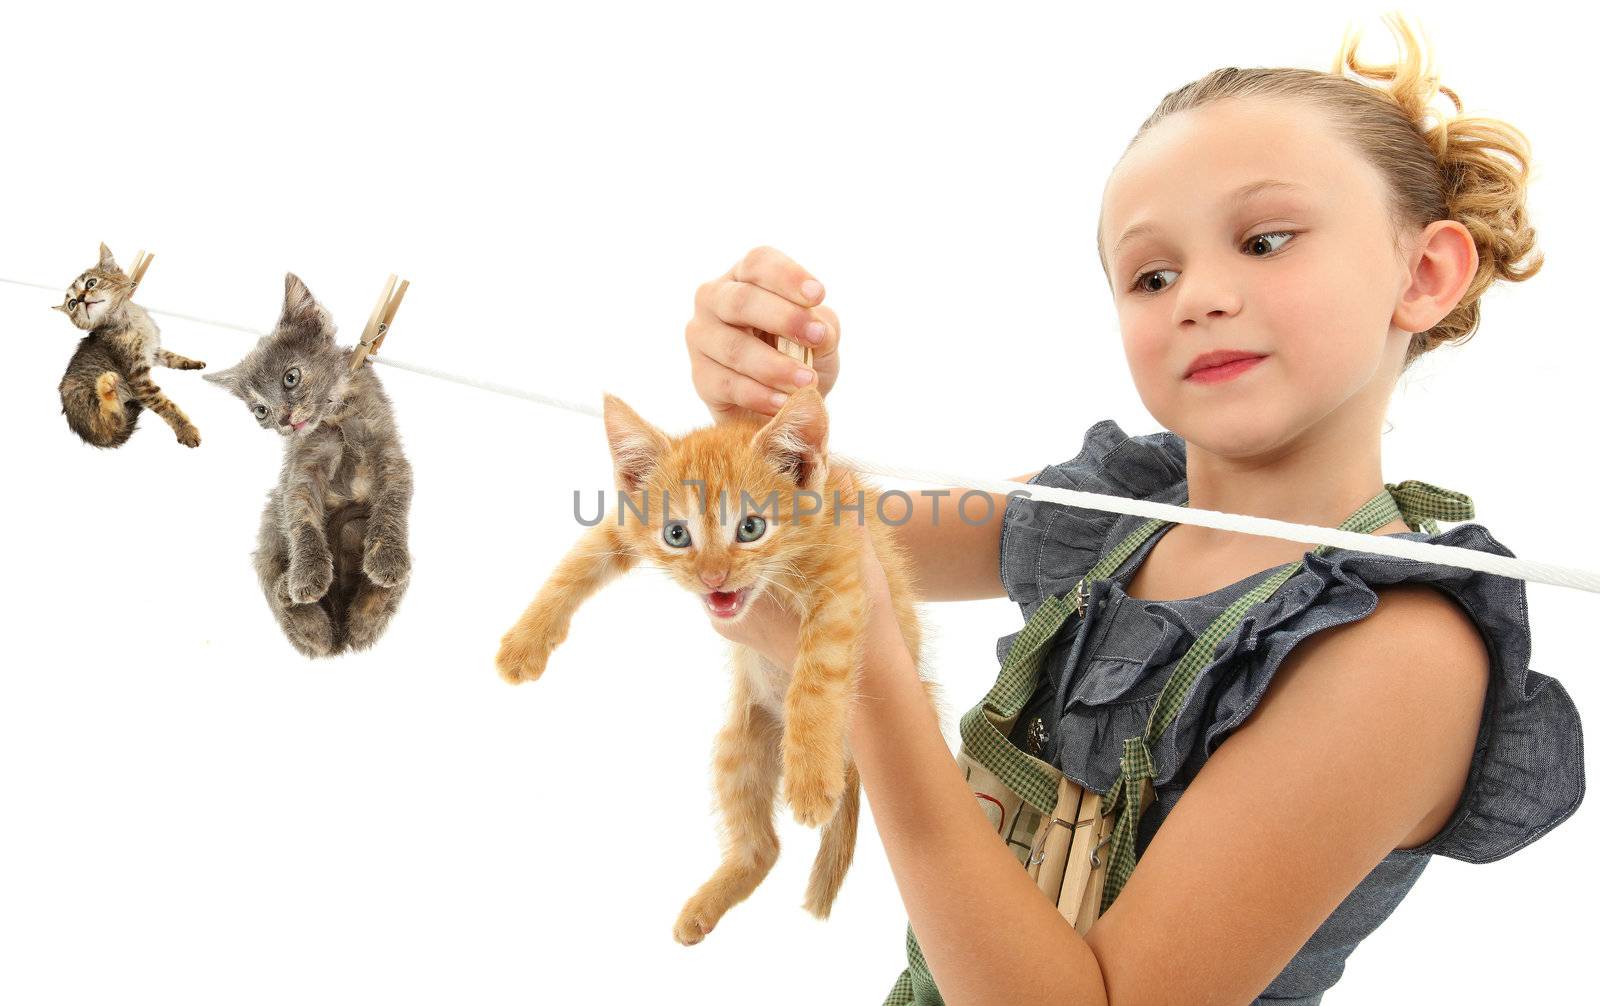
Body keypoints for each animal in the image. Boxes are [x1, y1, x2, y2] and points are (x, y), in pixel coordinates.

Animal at [55, 239, 206, 447]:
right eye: (72, 304)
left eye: (91, 283)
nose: (80, 299)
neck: (129, 319)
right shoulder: (138, 377)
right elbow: (165, 404)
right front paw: (186, 429)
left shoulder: (153, 351)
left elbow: (172, 357)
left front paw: (191, 363)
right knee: (112, 421)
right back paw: (107, 385)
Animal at [204, 271, 412, 658]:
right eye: (260, 411)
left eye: (291, 377)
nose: (283, 420)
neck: (335, 418)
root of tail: (341, 639)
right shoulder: (299, 472)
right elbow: (301, 520)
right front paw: (307, 574)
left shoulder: (390, 453)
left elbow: (392, 502)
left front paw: (388, 559)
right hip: (269, 529)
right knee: (310, 631)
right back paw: (288, 591)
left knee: (366, 621)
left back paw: (369, 608)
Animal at [499, 383, 940, 940]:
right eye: (677, 535)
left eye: (750, 527)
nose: (713, 577)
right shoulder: (626, 524)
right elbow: (575, 565)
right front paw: (524, 643)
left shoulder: (843, 584)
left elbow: (817, 678)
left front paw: (811, 779)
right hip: (738, 746)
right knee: (763, 848)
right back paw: (706, 906)